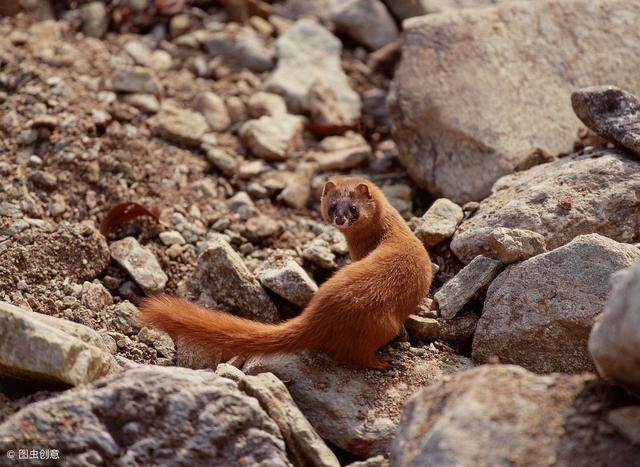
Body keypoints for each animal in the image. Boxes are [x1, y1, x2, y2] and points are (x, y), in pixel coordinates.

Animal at [138, 176, 432, 370]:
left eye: (353, 209)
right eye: (332, 206)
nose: (339, 219)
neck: (393, 232)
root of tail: (316, 318)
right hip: (383, 325)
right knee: (351, 356)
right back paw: (383, 362)